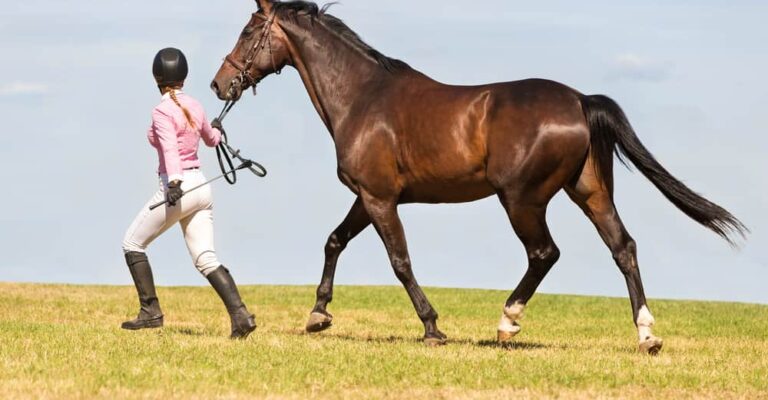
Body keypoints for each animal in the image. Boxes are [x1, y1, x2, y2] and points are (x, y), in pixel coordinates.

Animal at [211, 0, 746, 354]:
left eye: (248, 31)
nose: (220, 84)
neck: (363, 98)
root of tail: (579, 100)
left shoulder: (380, 199)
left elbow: (400, 262)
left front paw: (432, 328)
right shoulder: (367, 197)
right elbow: (334, 241)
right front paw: (318, 315)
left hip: (522, 199)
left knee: (545, 254)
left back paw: (508, 324)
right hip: (590, 193)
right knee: (624, 248)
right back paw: (647, 335)